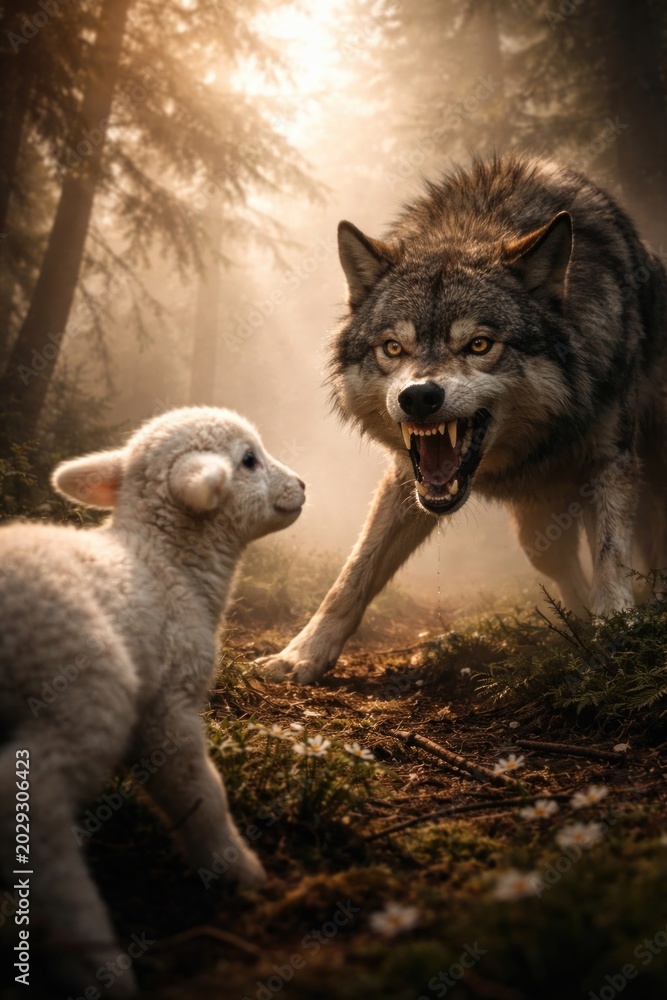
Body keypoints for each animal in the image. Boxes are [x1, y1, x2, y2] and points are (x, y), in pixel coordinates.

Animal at [0, 406, 306, 997]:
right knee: (30, 800)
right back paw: (97, 963)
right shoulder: (169, 703)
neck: (168, 564)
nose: (302, 485)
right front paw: (237, 869)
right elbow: (199, 789)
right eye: (248, 460)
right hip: (87, 686)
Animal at [256, 153, 667, 686]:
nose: (418, 398)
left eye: (478, 344)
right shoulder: (405, 478)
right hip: (536, 519)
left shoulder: (612, 459)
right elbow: (353, 573)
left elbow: (611, 553)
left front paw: (616, 629)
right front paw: (301, 654)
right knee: (551, 556)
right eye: (394, 347)